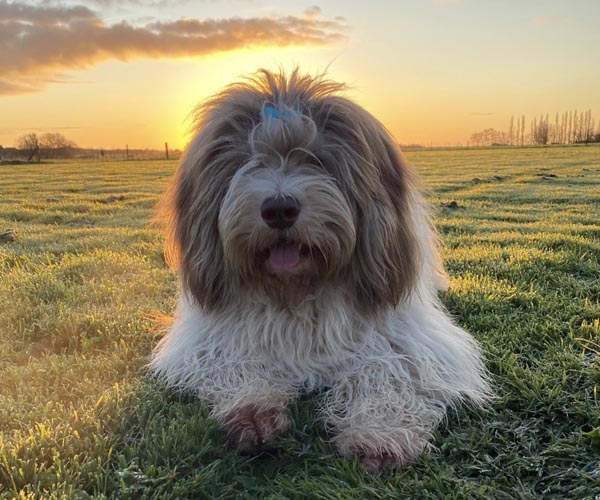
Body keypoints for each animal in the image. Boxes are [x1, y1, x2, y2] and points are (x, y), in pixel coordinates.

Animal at [150, 69, 490, 473]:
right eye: (249, 161)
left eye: (317, 160)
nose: (279, 208)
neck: (297, 290)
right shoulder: (209, 338)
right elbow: (234, 360)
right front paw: (253, 412)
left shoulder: (413, 339)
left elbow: (388, 369)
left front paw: (379, 435)